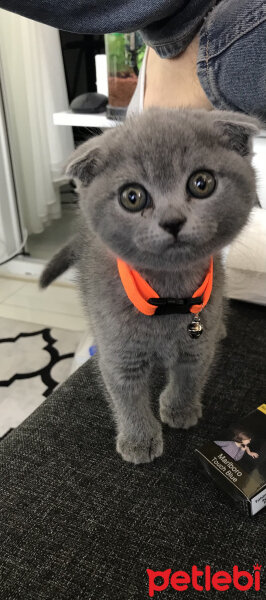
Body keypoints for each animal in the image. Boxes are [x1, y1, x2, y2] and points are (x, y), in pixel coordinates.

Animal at [40, 108, 258, 464]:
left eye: (202, 183)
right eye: (133, 197)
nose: (172, 221)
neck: (168, 296)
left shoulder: (197, 343)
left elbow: (191, 375)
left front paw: (180, 409)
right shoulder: (119, 351)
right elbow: (126, 396)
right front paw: (139, 440)